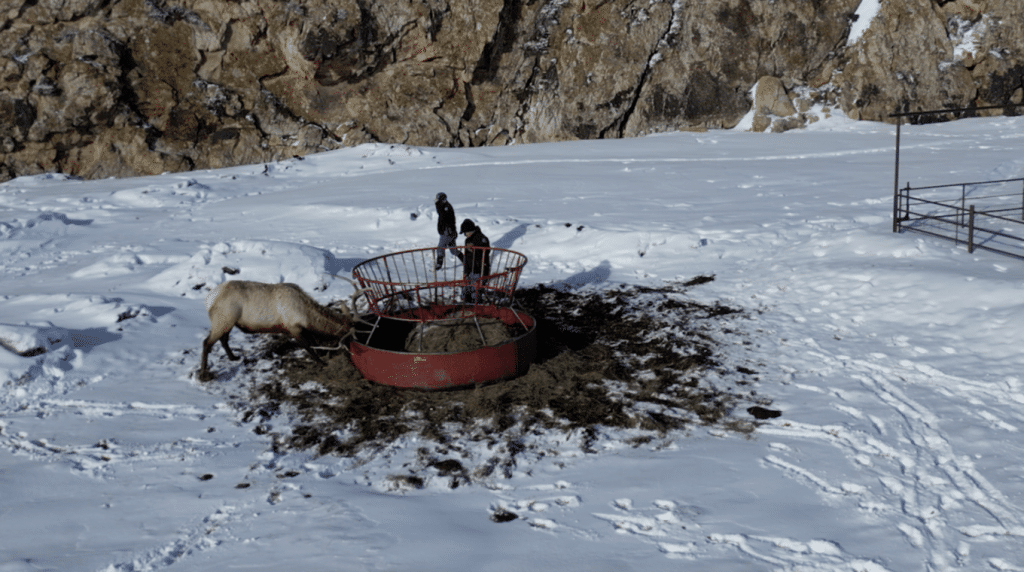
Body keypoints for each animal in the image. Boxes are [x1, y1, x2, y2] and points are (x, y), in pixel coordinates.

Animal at [197, 279, 366, 381]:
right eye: (350, 339)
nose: (353, 353)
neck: (307, 315)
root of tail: (208, 299)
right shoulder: (293, 328)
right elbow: (309, 347)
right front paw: (321, 362)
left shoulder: (301, 329)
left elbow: (313, 342)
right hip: (222, 320)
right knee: (206, 342)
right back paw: (204, 373)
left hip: (228, 322)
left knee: (223, 339)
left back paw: (233, 357)